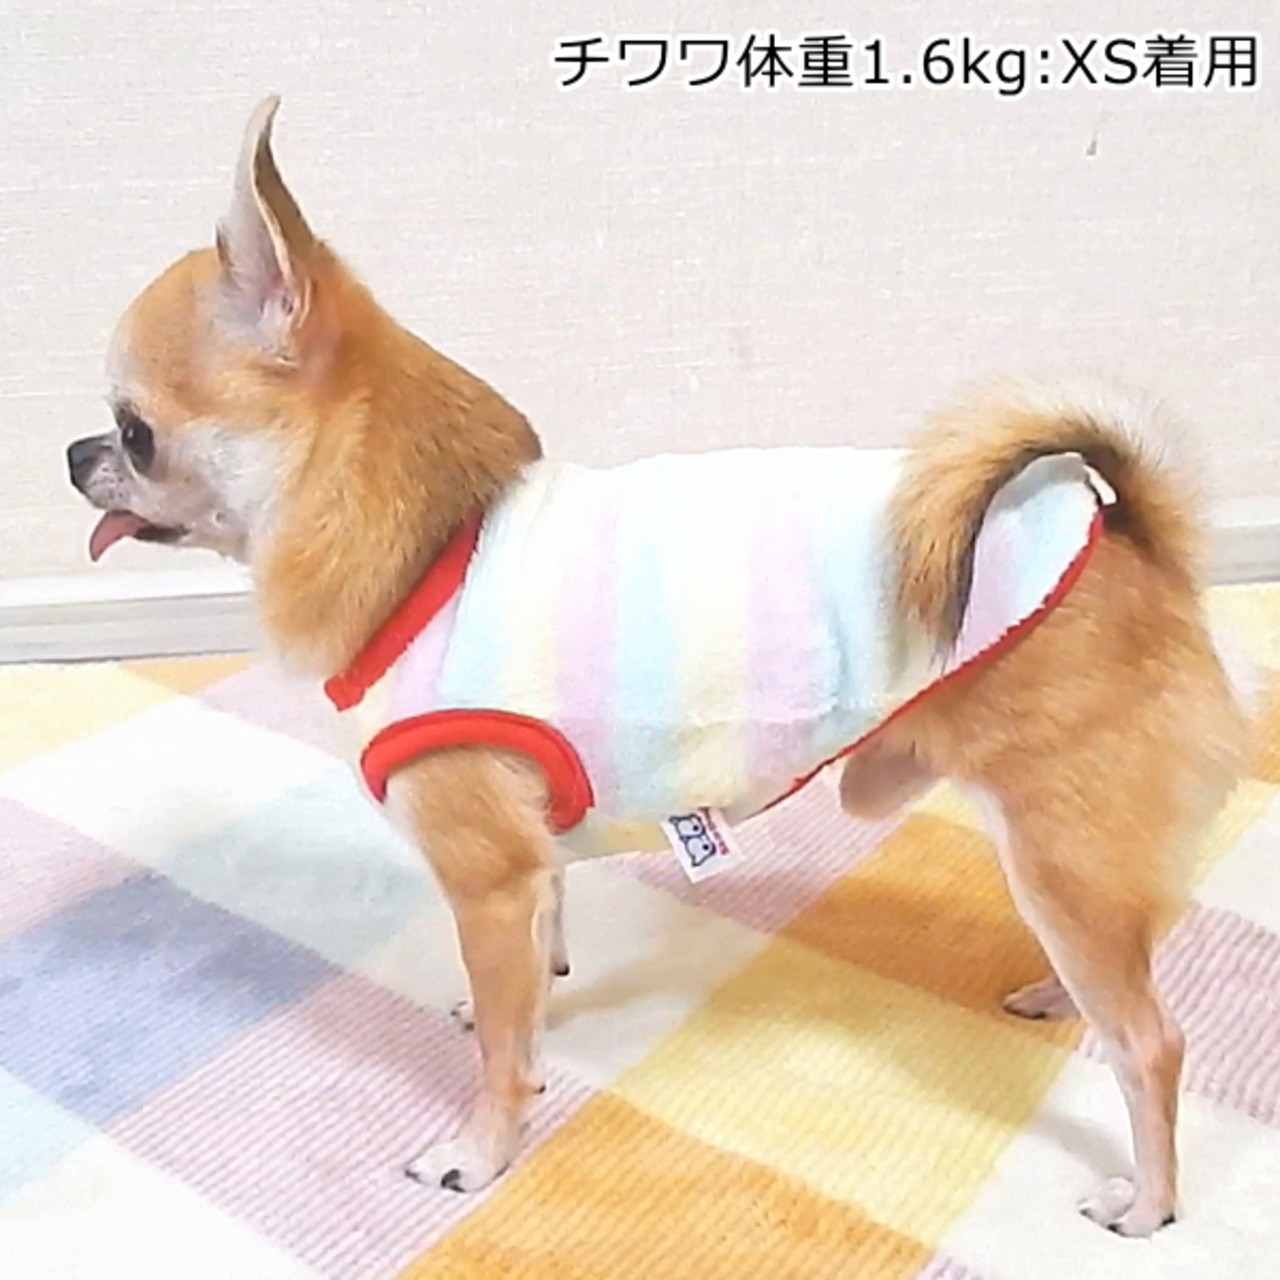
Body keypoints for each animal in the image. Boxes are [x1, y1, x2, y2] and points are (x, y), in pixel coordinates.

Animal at [67, 97, 1253, 1237]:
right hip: (1076, 854)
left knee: (1151, 1038)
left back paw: (1146, 1199)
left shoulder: (485, 875)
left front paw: (478, 1153)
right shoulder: (527, 864)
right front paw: (517, 1018)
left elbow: (500, 1056)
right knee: (1136, 940)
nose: (74, 452)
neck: (430, 550)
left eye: (136, 431)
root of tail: (1127, 533)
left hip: (1057, 843)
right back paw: (1063, 1001)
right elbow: (528, 981)